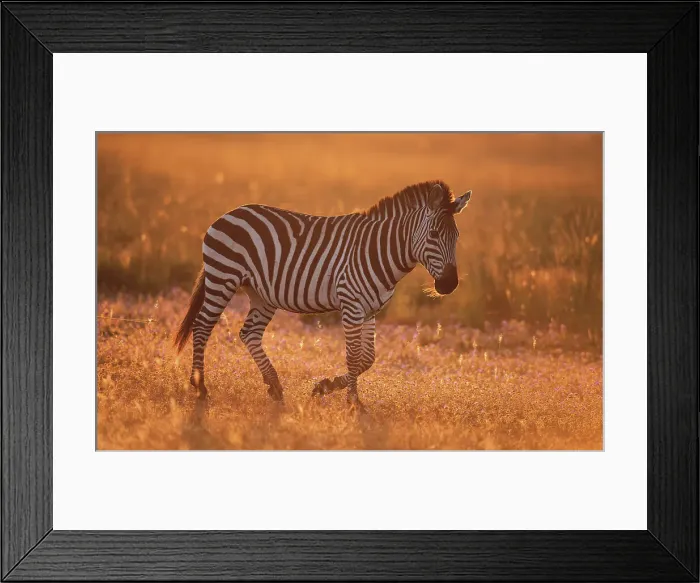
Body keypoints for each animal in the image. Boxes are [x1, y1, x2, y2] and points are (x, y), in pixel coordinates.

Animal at [174, 179, 471, 411]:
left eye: (457, 236)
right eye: (434, 234)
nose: (449, 285)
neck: (380, 251)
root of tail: (229, 213)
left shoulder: (370, 310)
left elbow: (368, 358)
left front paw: (325, 387)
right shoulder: (351, 305)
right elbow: (354, 356)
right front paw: (353, 402)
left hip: (261, 294)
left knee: (249, 333)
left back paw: (274, 386)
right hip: (223, 277)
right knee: (202, 326)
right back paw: (200, 387)